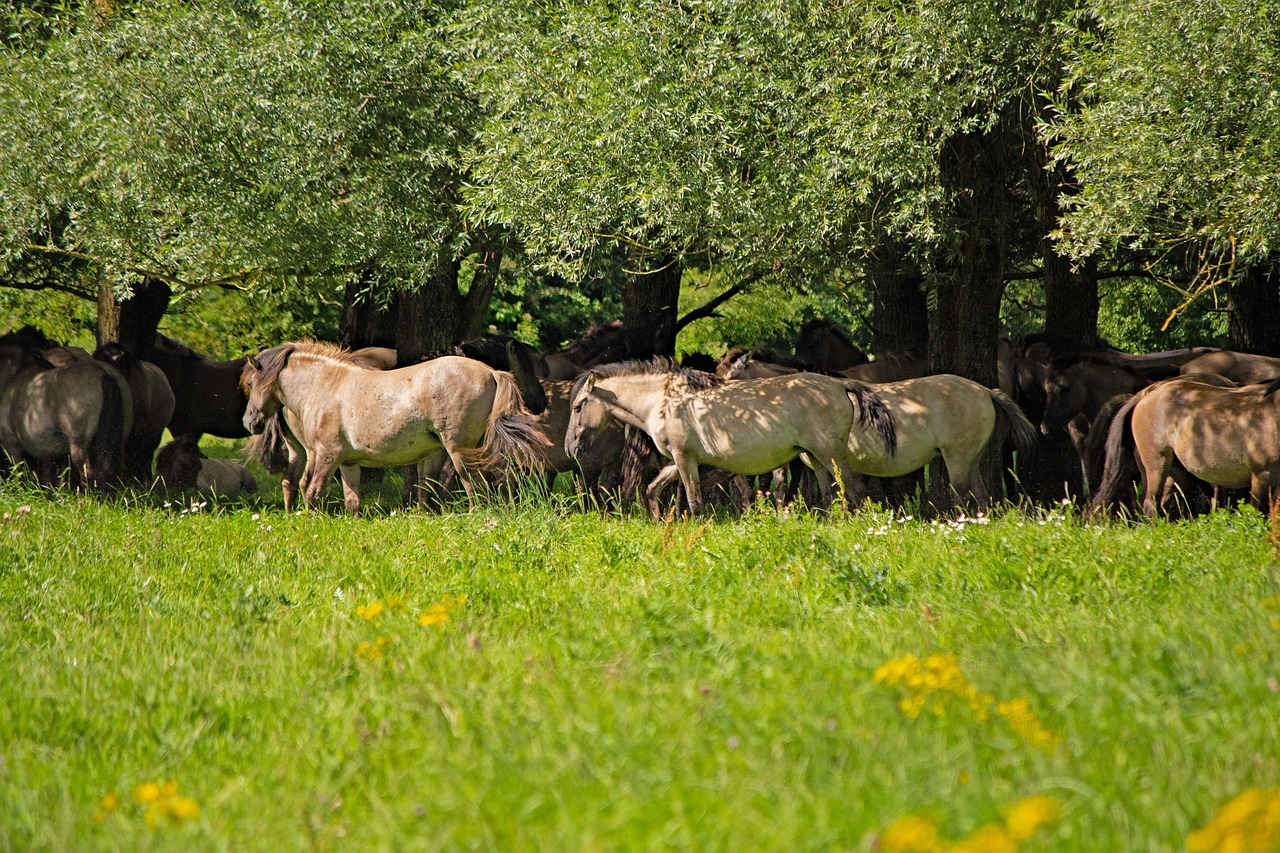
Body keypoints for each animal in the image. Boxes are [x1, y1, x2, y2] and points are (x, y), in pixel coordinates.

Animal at [0, 336, 131, 489]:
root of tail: (103, 373)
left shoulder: (11, 445)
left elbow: (21, 475)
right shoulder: (52, 453)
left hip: (78, 445)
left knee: (87, 473)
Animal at [239, 341, 549, 514]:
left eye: (251, 383)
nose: (249, 422)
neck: (326, 384)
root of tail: (491, 372)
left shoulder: (328, 455)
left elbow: (313, 492)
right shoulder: (348, 462)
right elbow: (352, 501)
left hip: (460, 451)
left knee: (476, 487)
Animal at [565, 359, 896, 518]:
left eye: (578, 406)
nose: (570, 447)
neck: (663, 399)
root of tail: (841, 386)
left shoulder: (685, 460)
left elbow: (694, 501)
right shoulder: (676, 461)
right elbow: (651, 490)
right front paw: (659, 523)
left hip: (830, 455)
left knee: (854, 489)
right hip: (815, 457)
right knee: (829, 495)